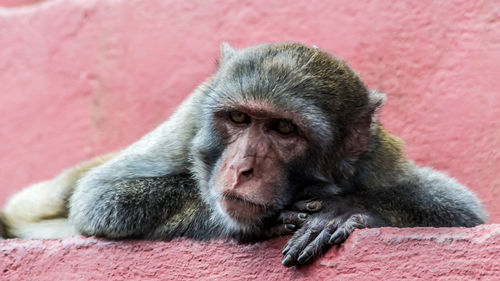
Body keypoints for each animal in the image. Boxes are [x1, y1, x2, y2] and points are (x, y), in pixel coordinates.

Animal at [0, 41, 484, 266]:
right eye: (238, 118)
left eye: (284, 128)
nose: (241, 167)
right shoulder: (192, 115)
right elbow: (101, 198)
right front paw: (262, 221)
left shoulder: (374, 154)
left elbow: (462, 211)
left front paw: (346, 211)